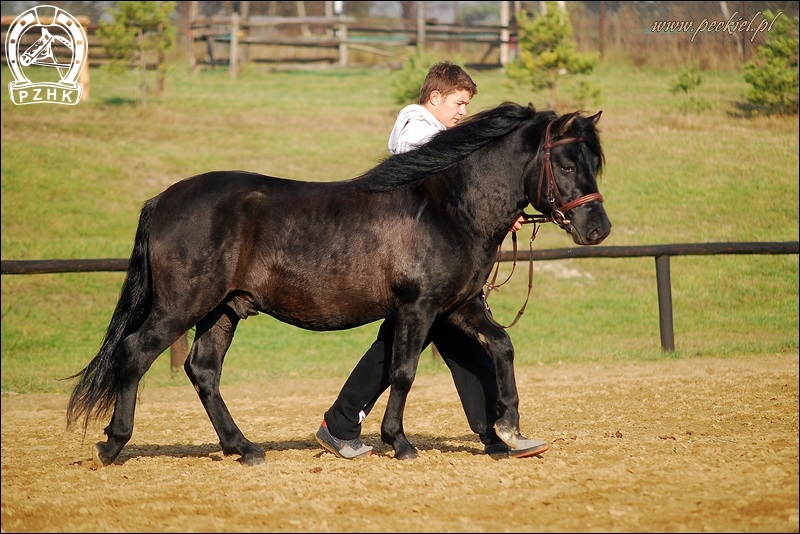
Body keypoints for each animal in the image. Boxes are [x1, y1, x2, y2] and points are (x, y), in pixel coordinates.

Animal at [67, 102, 612, 466]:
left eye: (593, 163)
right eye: (566, 164)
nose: (598, 229)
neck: (446, 207)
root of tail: (160, 200)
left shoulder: (457, 307)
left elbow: (501, 347)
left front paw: (508, 429)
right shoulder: (419, 307)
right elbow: (404, 372)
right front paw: (400, 443)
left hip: (223, 310)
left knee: (203, 371)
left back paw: (244, 447)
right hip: (181, 307)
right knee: (134, 353)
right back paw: (113, 444)